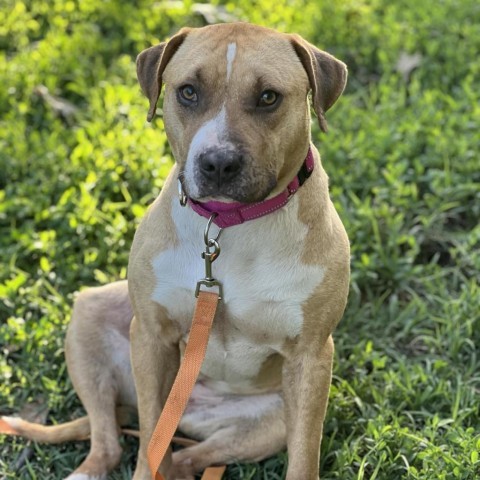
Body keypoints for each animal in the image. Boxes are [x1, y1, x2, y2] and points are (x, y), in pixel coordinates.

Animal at [1, 22, 350, 480]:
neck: (226, 225)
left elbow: (304, 457)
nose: (218, 162)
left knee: (185, 459)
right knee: (115, 442)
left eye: (268, 97)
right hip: (93, 317)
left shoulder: (311, 358)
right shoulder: (151, 339)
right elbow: (151, 443)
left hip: (266, 424)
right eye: (187, 91)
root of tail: (192, 405)